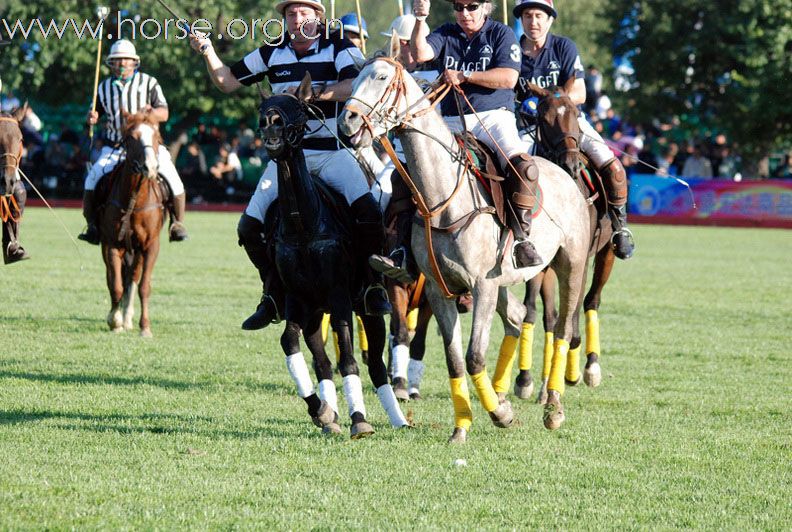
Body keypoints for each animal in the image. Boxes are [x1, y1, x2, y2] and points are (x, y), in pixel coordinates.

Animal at [100, 112, 166, 336]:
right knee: (116, 278)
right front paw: (114, 321)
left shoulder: (150, 246)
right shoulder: (111, 244)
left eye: (156, 136)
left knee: (133, 277)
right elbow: (115, 284)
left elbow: (144, 286)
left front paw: (145, 327)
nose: (150, 167)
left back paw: (128, 317)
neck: (135, 199)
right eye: (130, 138)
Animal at [260, 76, 408, 440]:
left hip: (366, 308)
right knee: (322, 363)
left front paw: (360, 420)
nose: (270, 122)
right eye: (262, 106)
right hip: (316, 312)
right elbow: (290, 342)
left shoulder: (339, 295)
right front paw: (323, 412)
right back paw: (331, 415)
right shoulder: (298, 299)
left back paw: (397, 418)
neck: (304, 226)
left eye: (299, 108)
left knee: (376, 365)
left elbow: (350, 359)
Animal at [338, 41, 592, 440]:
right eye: (354, 79)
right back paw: (504, 393)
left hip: (571, 264)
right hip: (505, 281)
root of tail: (566, 172)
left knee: (563, 327)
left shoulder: (481, 285)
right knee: (517, 318)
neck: (443, 199)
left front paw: (499, 416)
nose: (346, 122)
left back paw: (553, 406)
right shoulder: (439, 290)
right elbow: (455, 360)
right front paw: (464, 427)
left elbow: (474, 356)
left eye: (380, 77)